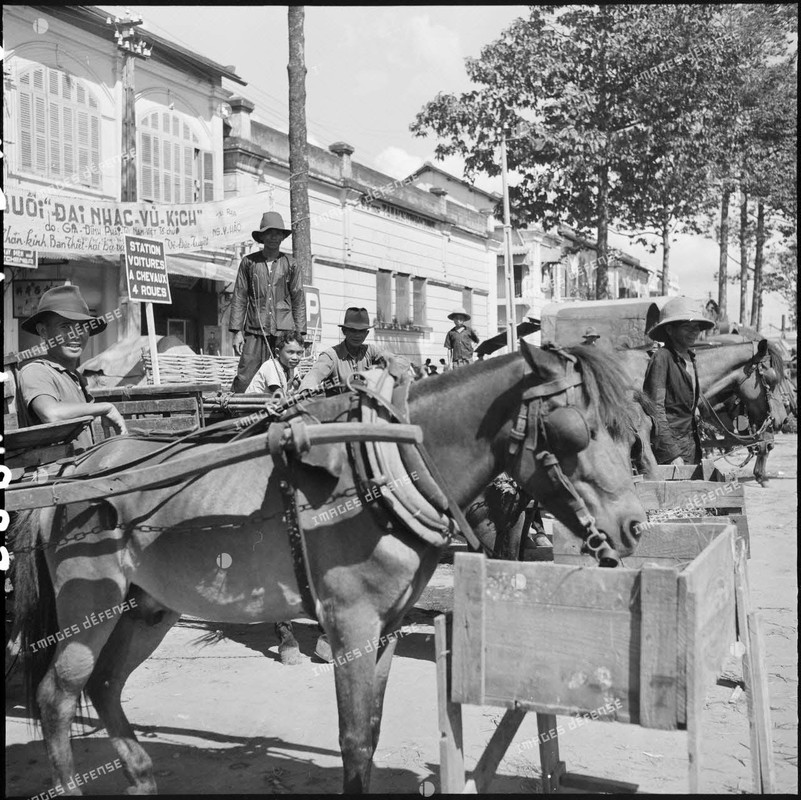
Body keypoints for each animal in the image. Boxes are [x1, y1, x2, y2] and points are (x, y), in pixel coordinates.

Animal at [10, 342, 644, 792]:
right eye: (574, 430)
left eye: (628, 432)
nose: (634, 526)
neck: (390, 463)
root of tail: (73, 469)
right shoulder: (350, 624)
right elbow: (355, 738)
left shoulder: (387, 625)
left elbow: (373, 728)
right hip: (89, 602)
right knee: (57, 697)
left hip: (147, 608)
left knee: (105, 684)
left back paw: (142, 776)